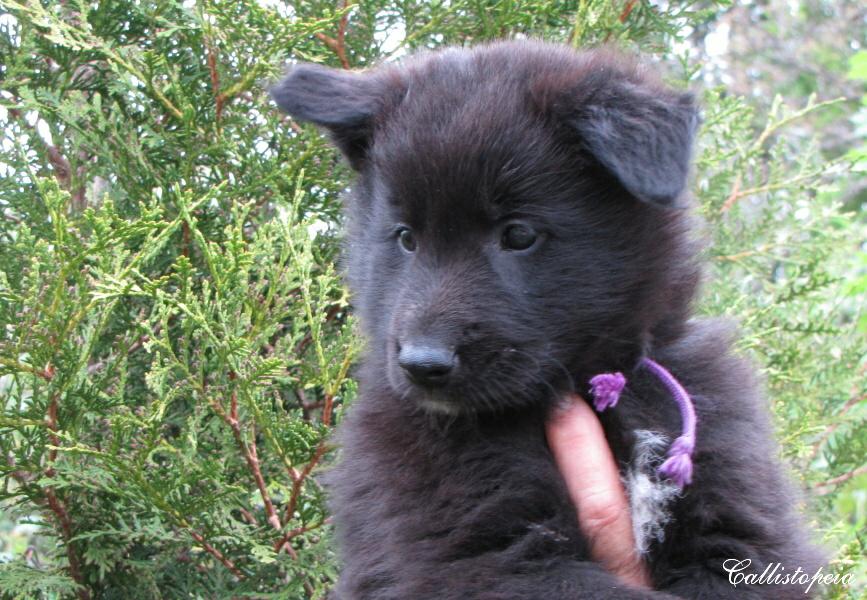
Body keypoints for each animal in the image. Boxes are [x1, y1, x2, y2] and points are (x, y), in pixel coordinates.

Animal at [272, 40, 823, 599]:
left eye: (518, 234)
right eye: (406, 238)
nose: (423, 365)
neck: (585, 387)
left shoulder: (741, 525)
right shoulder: (477, 560)